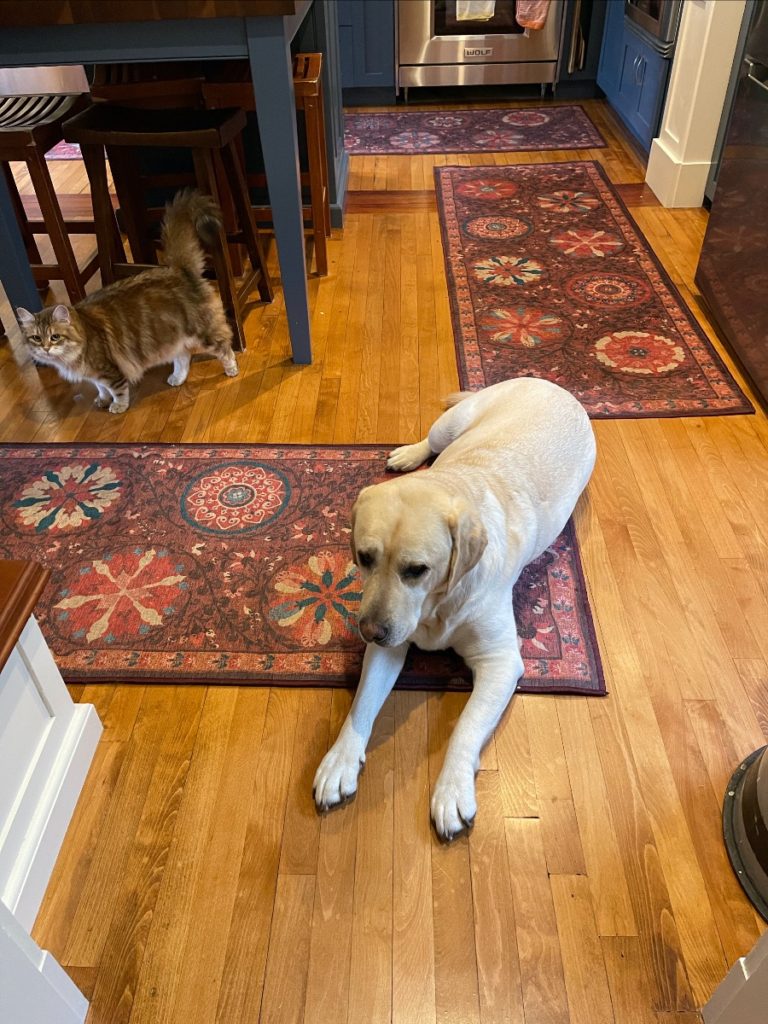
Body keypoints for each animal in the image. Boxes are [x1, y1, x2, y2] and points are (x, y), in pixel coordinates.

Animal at [18, 190, 240, 413]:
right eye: (36, 338)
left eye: (55, 337)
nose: (45, 348)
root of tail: (178, 269)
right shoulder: (95, 376)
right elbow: (101, 390)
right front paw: (102, 400)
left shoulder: (109, 371)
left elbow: (117, 391)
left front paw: (117, 407)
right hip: (171, 338)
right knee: (183, 357)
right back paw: (177, 378)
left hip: (204, 333)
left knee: (224, 348)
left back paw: (232, 370)